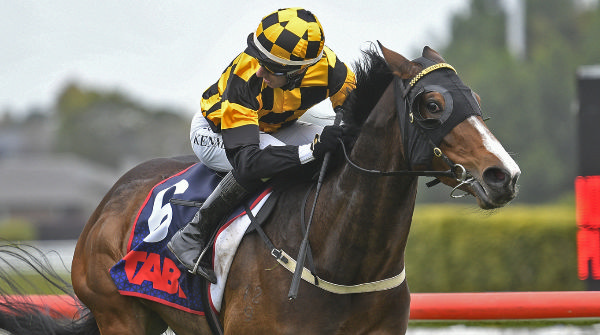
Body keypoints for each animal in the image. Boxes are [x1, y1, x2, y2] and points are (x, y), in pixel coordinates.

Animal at [0, 43, 520, 334]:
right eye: (432, 105)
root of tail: (108, 201)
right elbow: (248, 161)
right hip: (120, 315)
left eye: (474, 99)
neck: (341, 257)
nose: (503, 175)